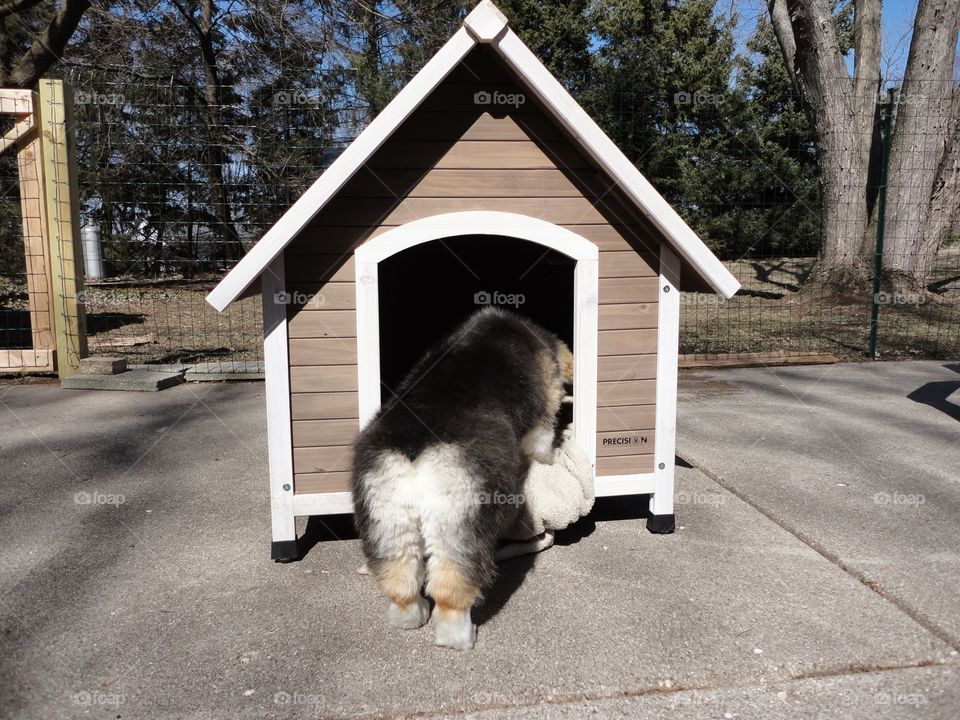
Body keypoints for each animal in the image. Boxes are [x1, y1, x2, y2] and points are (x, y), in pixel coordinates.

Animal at [350, 306, 568, 648]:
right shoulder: (540, 425)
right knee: (451, 590)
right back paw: (460, 636)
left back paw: (410, 618)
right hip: (460, 525)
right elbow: (541, 444)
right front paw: (549, 459)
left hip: (387, 518)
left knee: (401, 581)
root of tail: (414, 446)